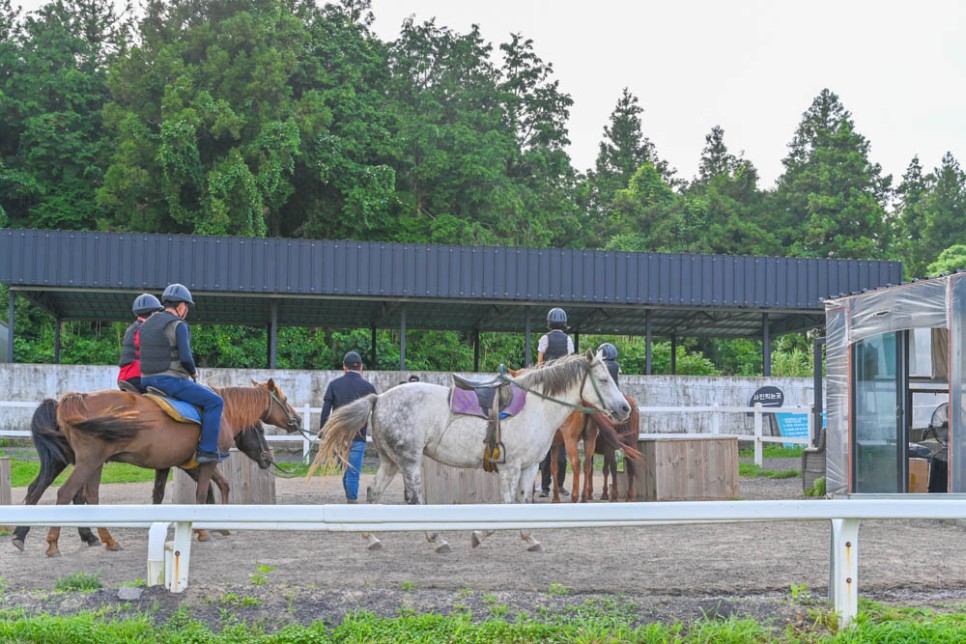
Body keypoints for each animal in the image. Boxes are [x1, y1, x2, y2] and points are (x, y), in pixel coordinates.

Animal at [27, 380, 302, 556]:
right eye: (259, 429)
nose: (297, 420)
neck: (224, 412)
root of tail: (78, 398)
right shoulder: (206, 461)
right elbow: (202, 494)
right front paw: (203, 530)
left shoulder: (184, 464)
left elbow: (214, 487)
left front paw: (219, 525)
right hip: (87, 462)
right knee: (65, 494)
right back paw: (52, 544)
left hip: (94, 464)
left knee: (89, 498)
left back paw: (108, 540)